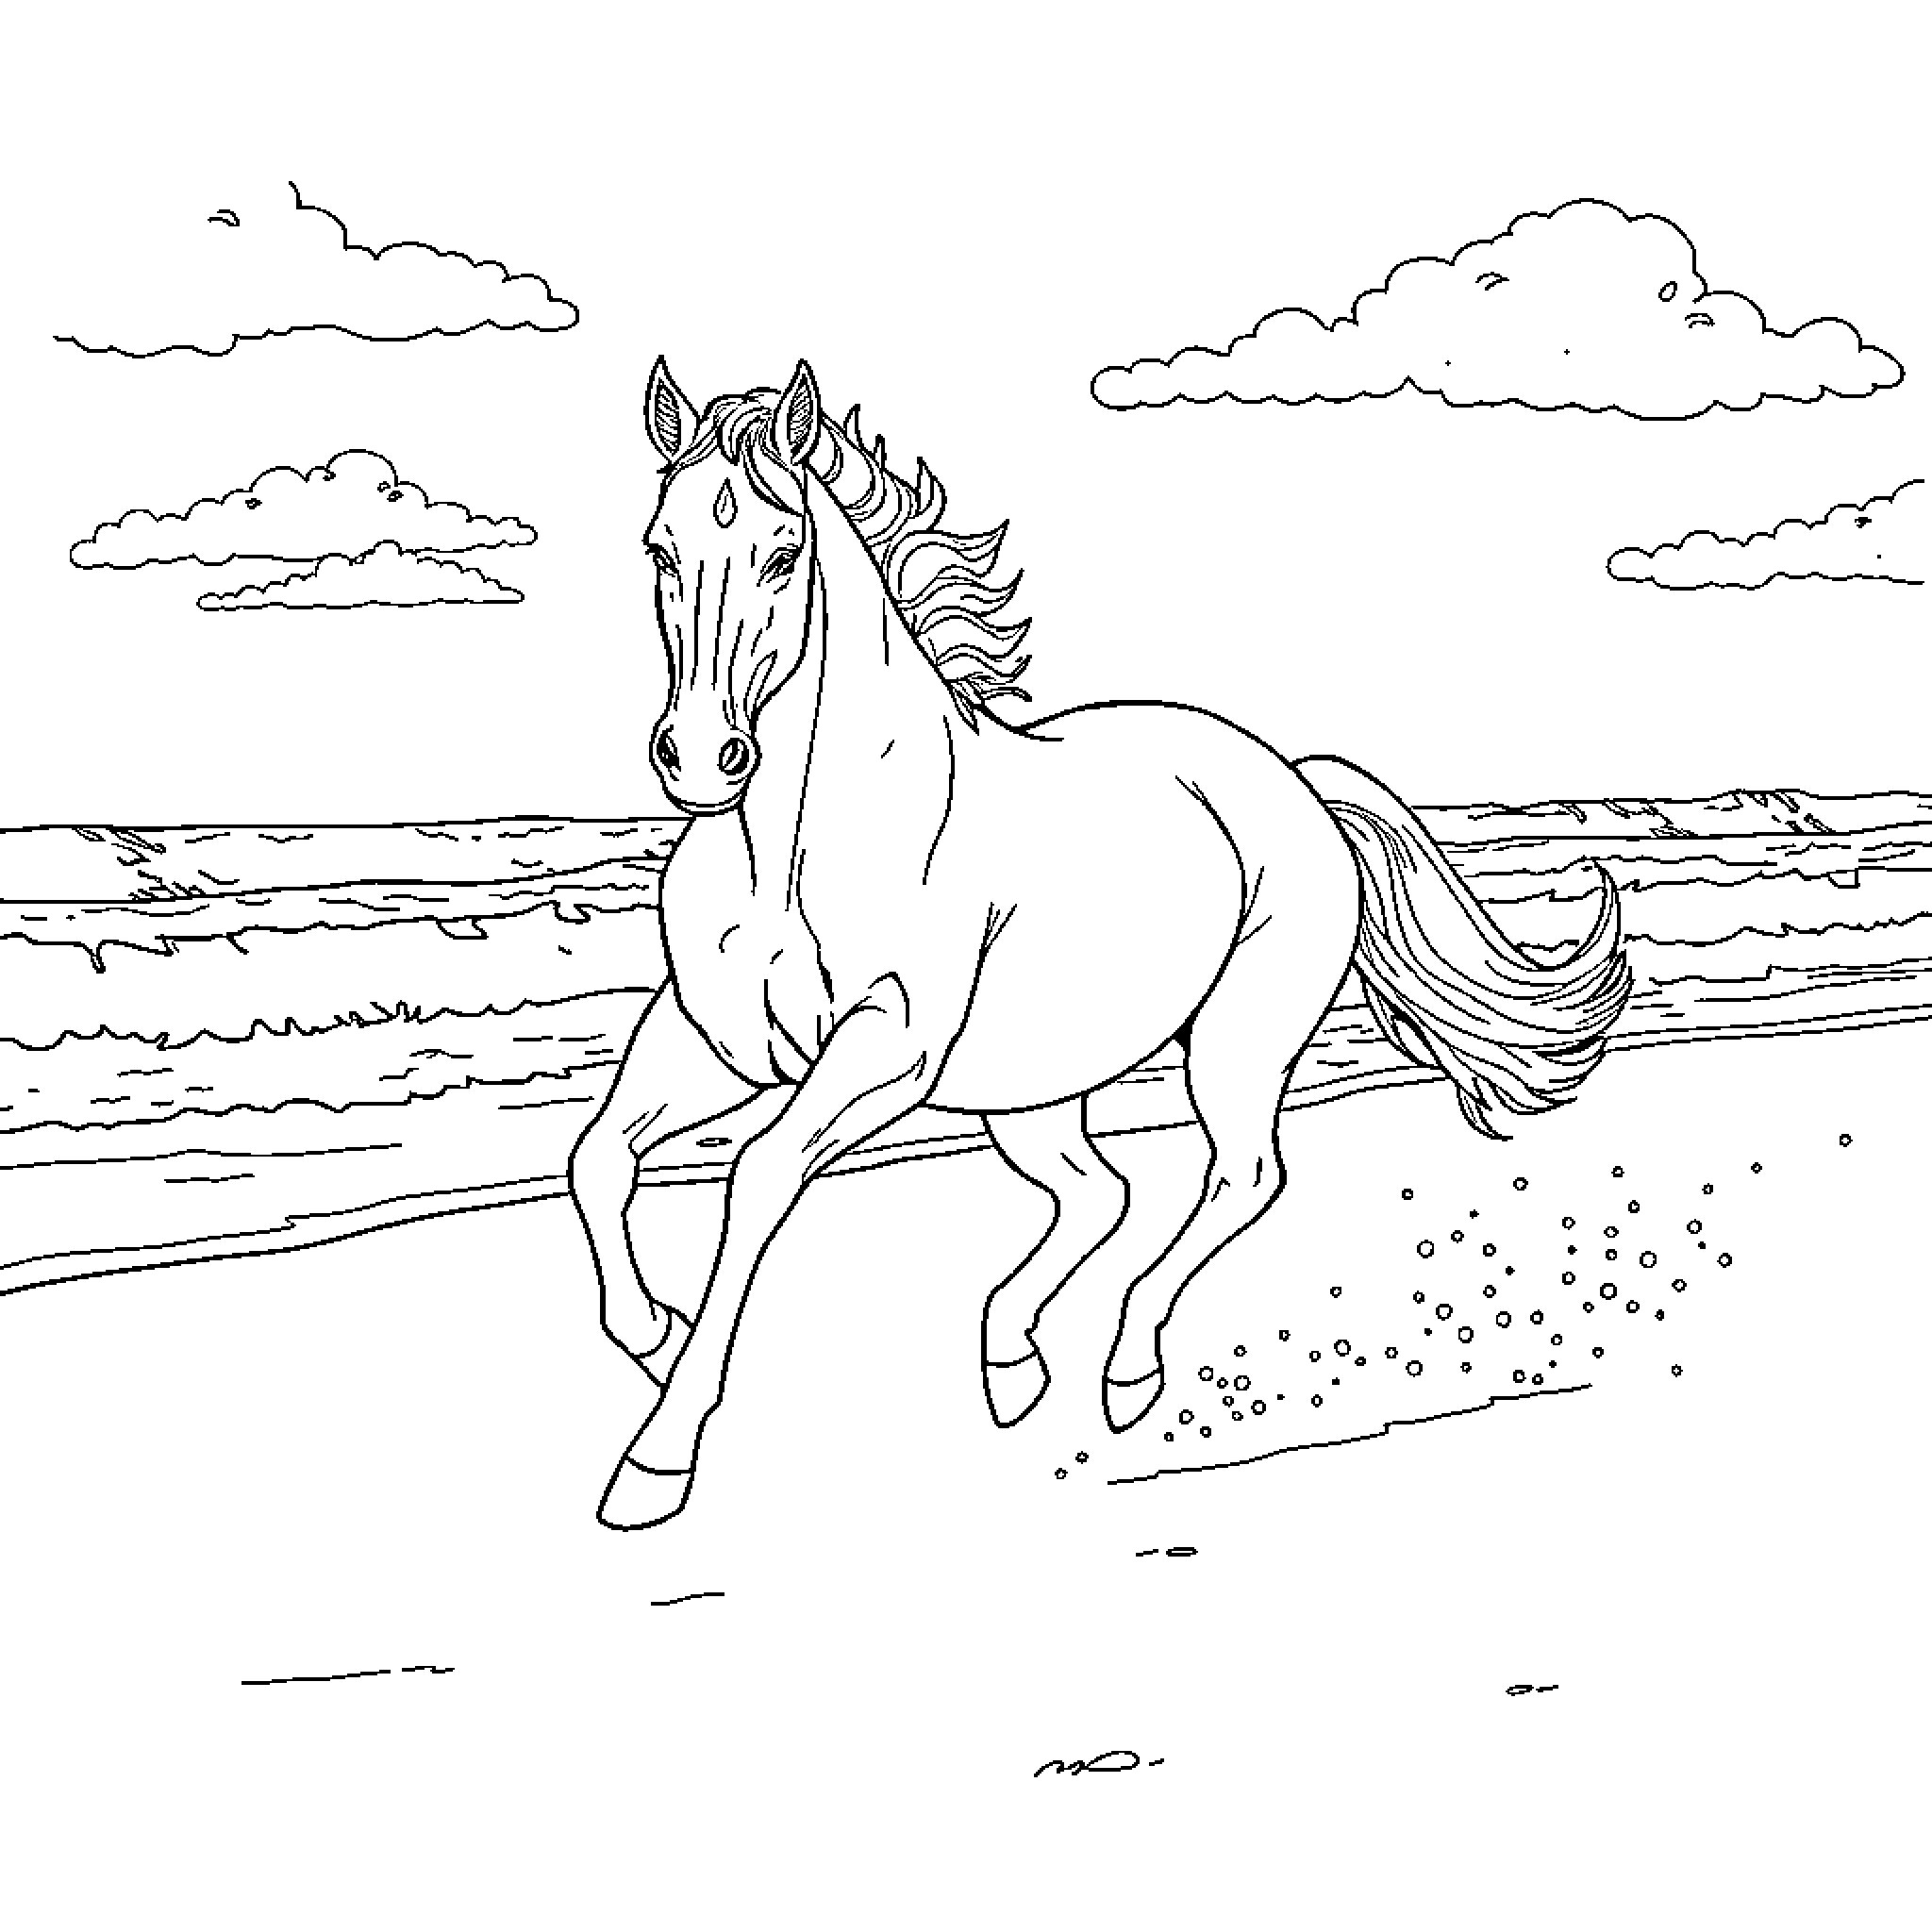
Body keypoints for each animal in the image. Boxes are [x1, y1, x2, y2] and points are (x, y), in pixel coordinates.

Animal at [567, 356, 1632, 1529]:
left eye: (782, 551)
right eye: (659, 548)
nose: (698, 757)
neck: (794, 845)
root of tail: (1296, 782)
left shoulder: (885, 1049)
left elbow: (753, 1176)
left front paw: (654, 1459)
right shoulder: (711, 1038)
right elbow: (597, 1155)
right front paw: (649, 1331)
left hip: (1232, 1047)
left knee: (1235, 1179)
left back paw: (1125, 1372)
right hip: (1029, 1087)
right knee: (1100, 1190)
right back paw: (1011, 1360)